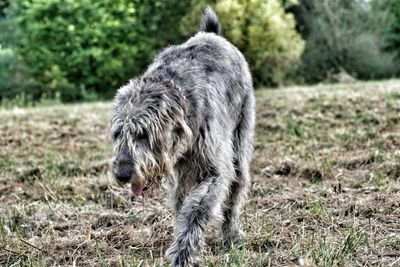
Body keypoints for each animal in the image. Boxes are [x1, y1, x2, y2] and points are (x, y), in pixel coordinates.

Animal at [110, 6, 253, 267]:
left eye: (144, 134)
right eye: (118, 134)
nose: (122, 175)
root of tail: (211, 33)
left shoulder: (215, 171)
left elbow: (195, 210)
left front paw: (184, 254)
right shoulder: (178, 177)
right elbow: (181, 208)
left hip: (241, 136)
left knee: (236, 187)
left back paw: (231, 235)